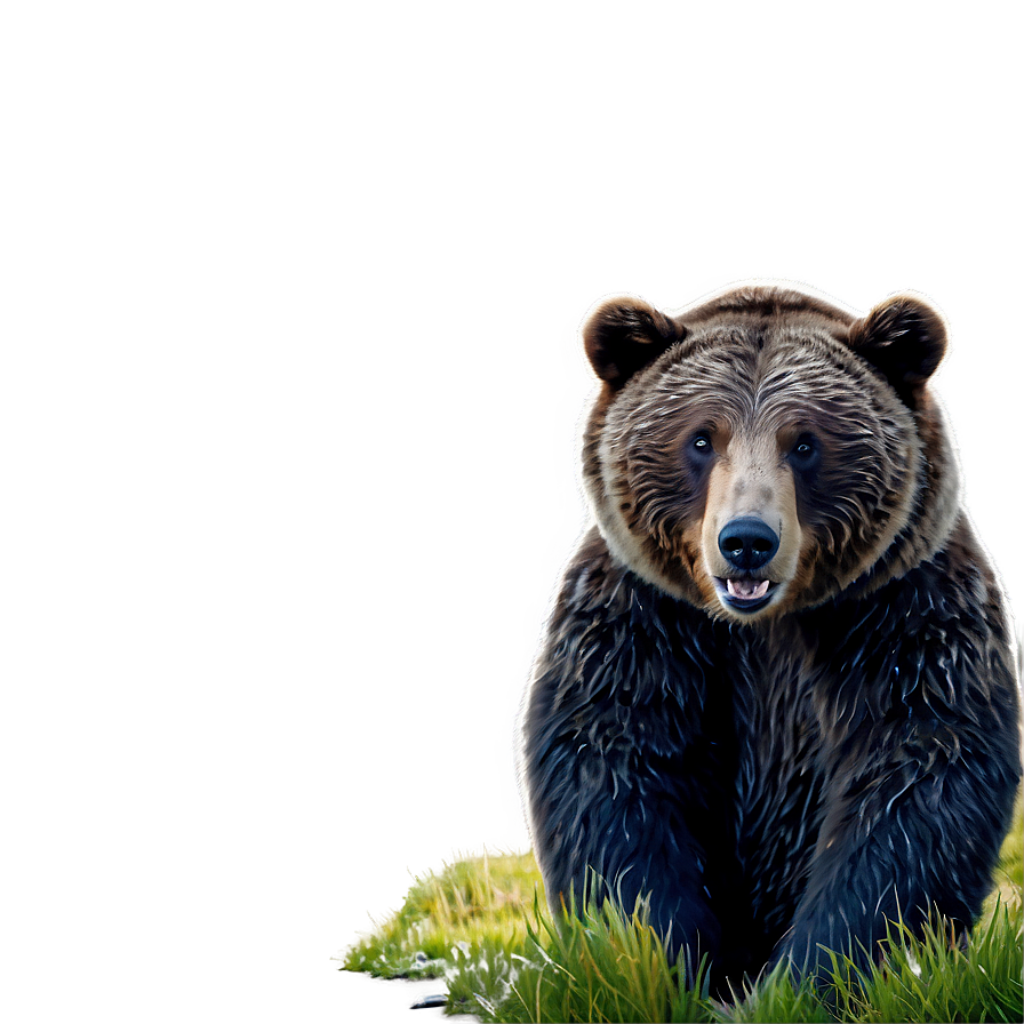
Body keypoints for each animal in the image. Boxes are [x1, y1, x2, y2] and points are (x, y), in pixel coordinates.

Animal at [521, 280, 1022, 991]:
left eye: (805, 442)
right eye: (702, 438)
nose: (747, 541)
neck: (764, 625)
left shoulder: (901, 614)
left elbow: (916, 775)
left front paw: (809, 976)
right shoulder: (645, 621)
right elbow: (614, 765)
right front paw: (669, 963)